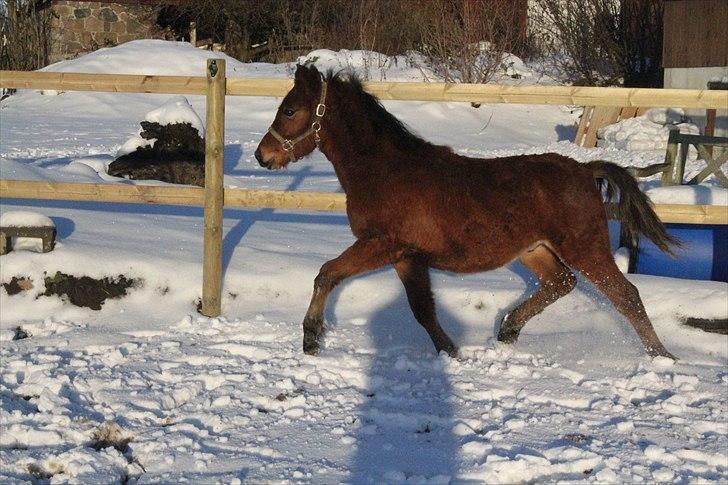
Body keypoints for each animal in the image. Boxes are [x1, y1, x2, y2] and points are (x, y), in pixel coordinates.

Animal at [255, 63, 676, 360]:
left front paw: (311, 338)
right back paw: (507, 330)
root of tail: (586, 170)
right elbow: (423, 310)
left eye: (289, 110)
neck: (385, 171)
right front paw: (451, 352)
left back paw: (662, 358)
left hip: (584, 247)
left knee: (625, 295)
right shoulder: (407, 257)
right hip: (534, 250)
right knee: (561, 282)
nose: (263, 155)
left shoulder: (382, 244)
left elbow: (327, 274)